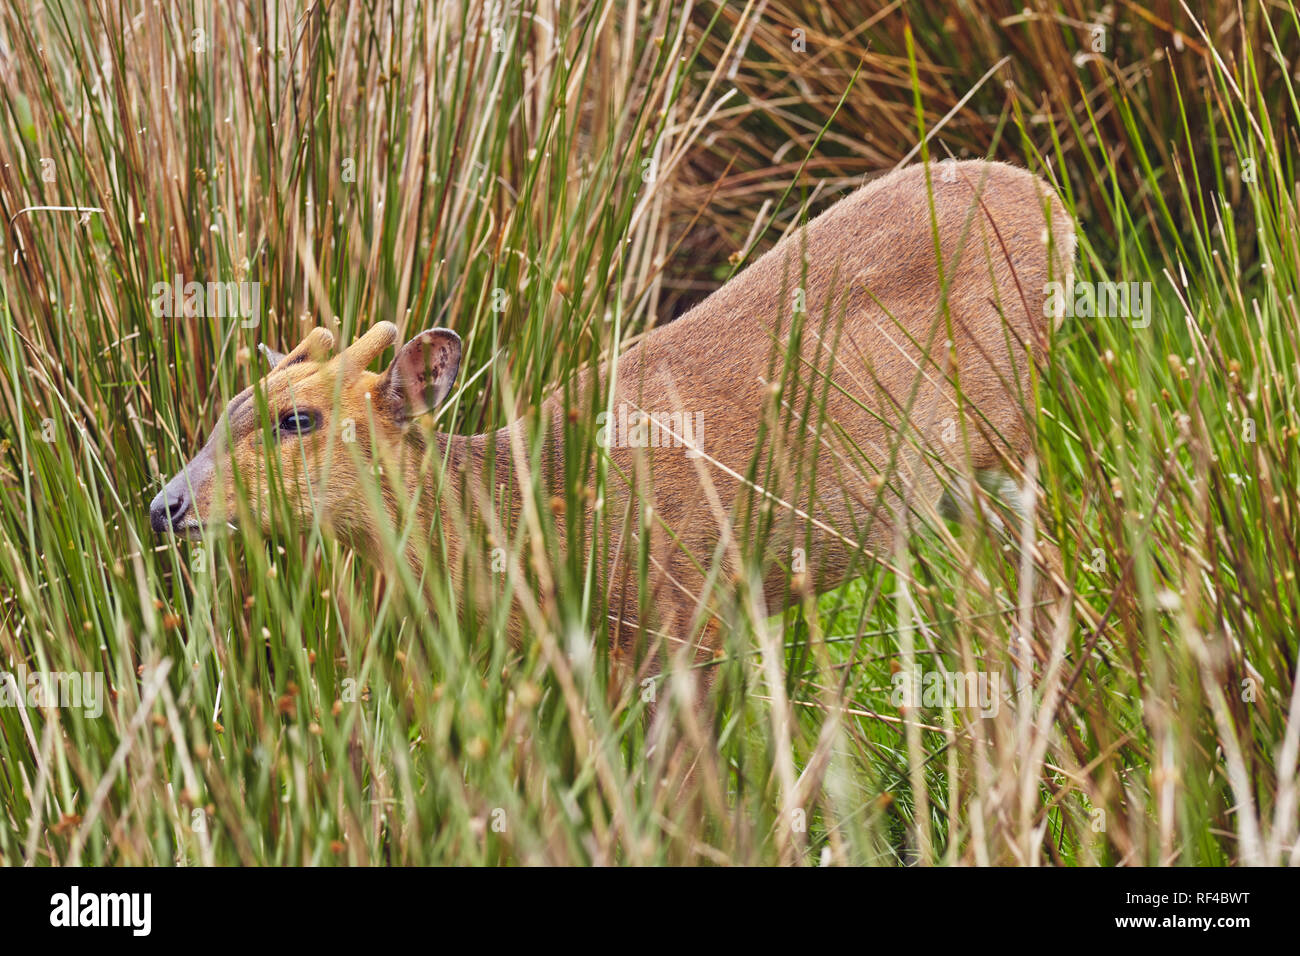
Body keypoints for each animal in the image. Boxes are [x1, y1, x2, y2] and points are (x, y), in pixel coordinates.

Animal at [152, 158, 1076, 712]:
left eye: (296, 419)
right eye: (223, 408)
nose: (165, 505)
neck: (533, 513)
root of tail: (1052, 202)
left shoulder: (687, 607)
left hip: (1003, 432)